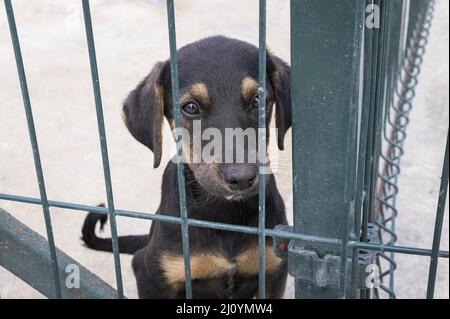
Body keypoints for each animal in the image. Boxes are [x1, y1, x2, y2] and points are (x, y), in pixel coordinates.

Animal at [81, 35, 292, 300]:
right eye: (190, 107)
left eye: (259, 100)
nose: (242, 178)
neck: (223, 214)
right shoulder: (151, 272)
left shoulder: (274, 271)